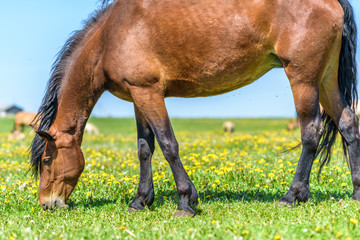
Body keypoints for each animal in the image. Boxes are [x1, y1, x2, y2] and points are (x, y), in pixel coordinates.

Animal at [30, 0, 358, 217]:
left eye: (46, 160)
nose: (47, 204)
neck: (111, 36)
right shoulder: (138, 96)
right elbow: (144, 148)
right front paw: (141, 200)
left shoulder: (149, 93)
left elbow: (167, 144)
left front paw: (186, 201)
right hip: (325, 80)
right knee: (348, 125)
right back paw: (355, 192)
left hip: (303, 78)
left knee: (311, 132)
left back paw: (292, 195)